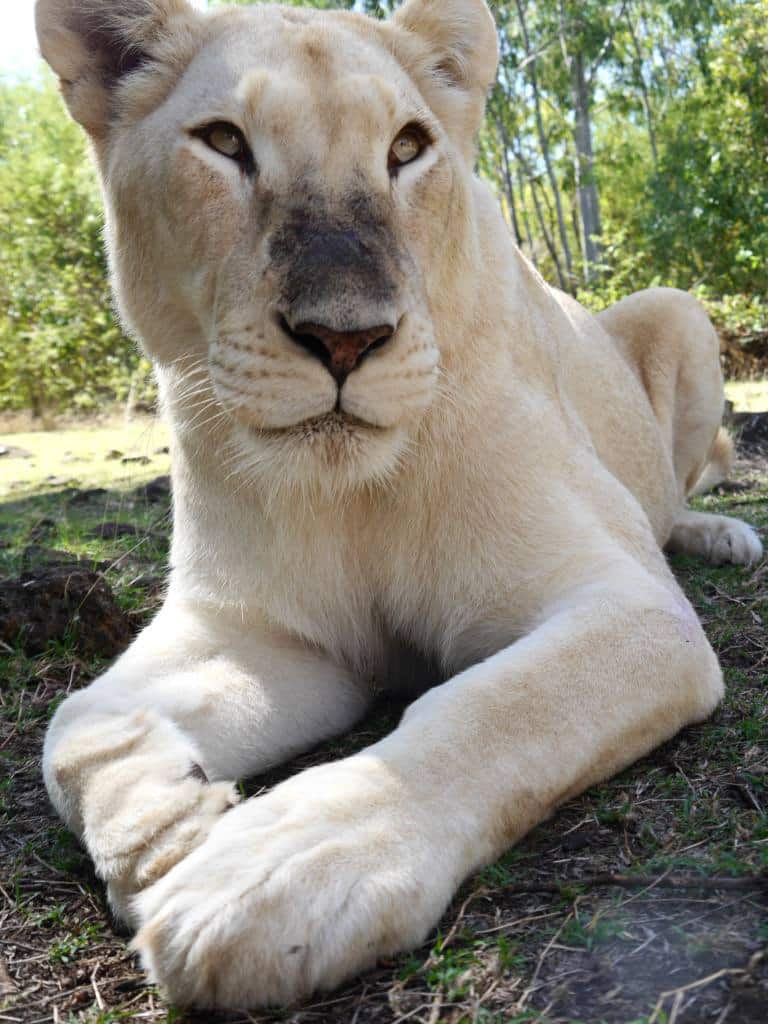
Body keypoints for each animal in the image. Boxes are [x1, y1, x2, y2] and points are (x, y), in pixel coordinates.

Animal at [34, 0, 757, 1007]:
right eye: (225, 142)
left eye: (407, 148)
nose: (346, 338)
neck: (350, 494)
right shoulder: (270, 635)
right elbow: (73, 724)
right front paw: (170, 821)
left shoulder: (637, 611)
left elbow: (487, 710)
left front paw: (277, 871)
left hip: (677, 310)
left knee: (679, 489)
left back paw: (723, 533)